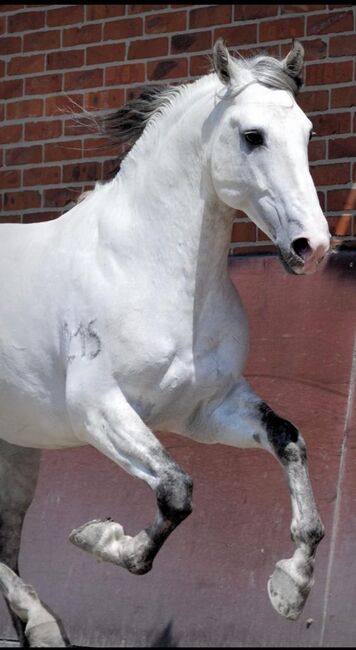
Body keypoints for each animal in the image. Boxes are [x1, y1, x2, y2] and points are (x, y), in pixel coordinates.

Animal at [0, 40, 330, 644]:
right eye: (252, 135)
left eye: (307, 132)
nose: (311, 246)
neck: (145, 267)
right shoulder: (98, 410)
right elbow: (175, 491)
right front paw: (98, 536)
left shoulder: (207, 410)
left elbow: (289, 440)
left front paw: (290, 588)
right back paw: (43, 618)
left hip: (16, 448)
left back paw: (39, 623)